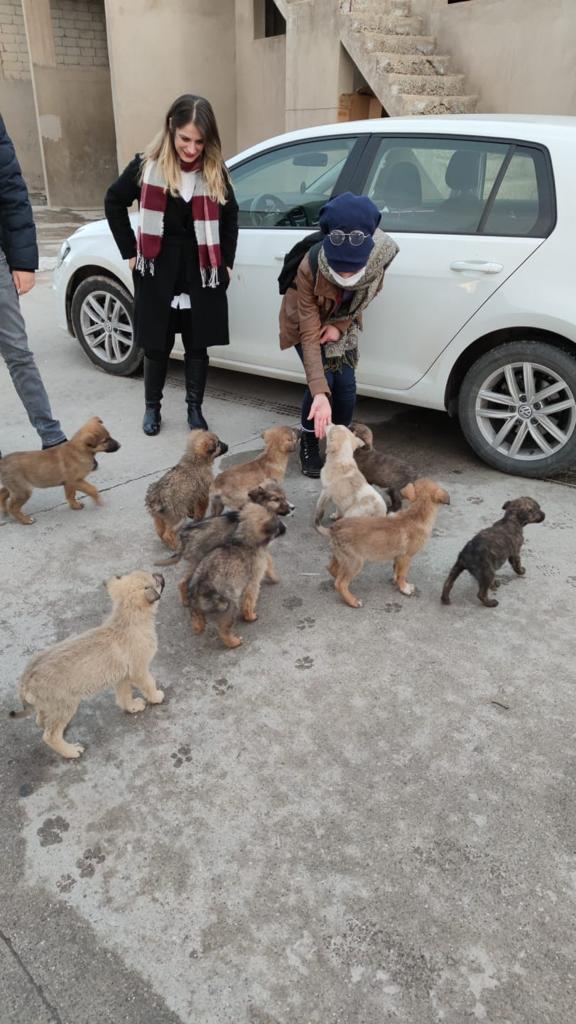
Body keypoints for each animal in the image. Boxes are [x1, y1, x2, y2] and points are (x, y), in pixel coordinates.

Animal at [10, 573, 165, 757]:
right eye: (156, 580)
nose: (160, 574)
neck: (128, 619)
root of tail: (26, 678)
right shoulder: (139, 670)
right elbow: (149, 684)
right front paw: (156, 697)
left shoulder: (123, 677)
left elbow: (124, 695)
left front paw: (132, 707)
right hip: (66, 704)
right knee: (49, 736)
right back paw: (70, 751)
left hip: (50, 705)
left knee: (41, 720)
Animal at [155, 477, 293, 602]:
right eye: (276, 499)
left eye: (284, 497)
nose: (293, 508)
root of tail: (185, 534)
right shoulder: (260, 547)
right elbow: (268, 562)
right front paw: (274, 578)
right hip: (196, 560)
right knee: (182, 582)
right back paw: (185, 601)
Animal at [187, 503, 284, 647]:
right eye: (277, 523)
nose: (285, 528)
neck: (243, 540)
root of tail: (201, 586)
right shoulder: (255, 574)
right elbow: (250, 596)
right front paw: (250, 615)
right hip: (229, 603)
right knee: (224, 627)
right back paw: (233, 641)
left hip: (195, 601)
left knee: (196, 616)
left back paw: (198, 625)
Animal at [313, 479, 448, 606]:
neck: (416, 515)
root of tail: (333, 529)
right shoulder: (406, 556)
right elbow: (402, 574)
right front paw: (404, 588)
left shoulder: (398, 556)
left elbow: (396, 570)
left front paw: (396, 581)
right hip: (355, 561)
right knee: (340, 583)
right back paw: (353, 601)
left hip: (341, 556)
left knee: (332, 570)